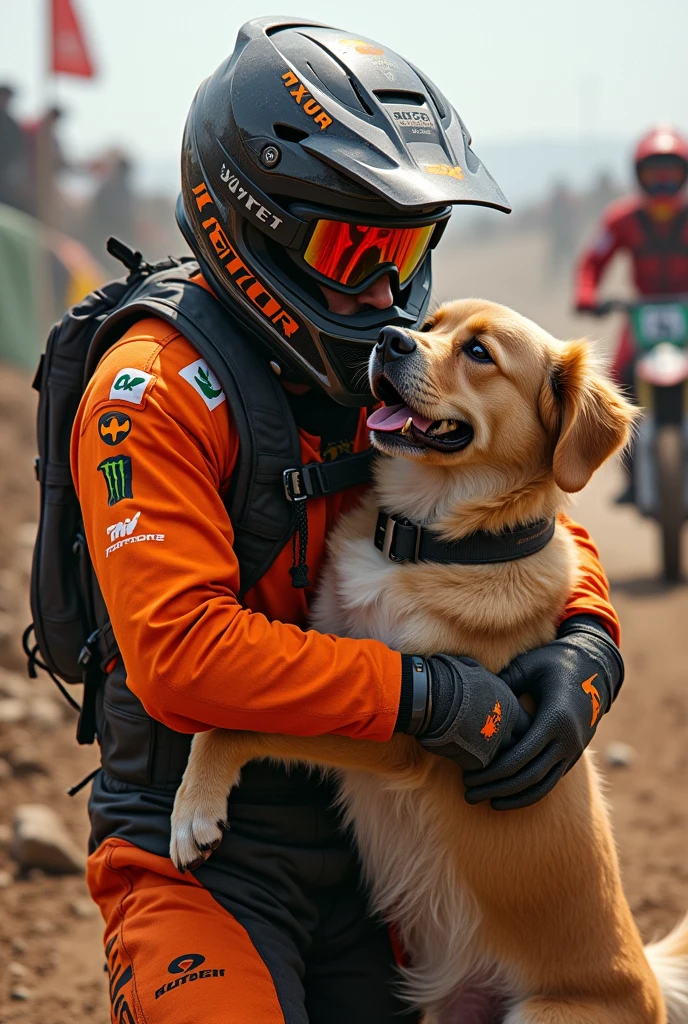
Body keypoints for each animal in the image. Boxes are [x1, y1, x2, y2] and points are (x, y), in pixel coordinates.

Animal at [167, 299, 688, 1024]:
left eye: (479, 353)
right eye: (428, 323)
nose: (389, 339)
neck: (430, 537)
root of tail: (649, 982)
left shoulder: (402, 736)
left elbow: (236, 724)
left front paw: (194, 809)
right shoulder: (334, 649)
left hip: (542, 1014)